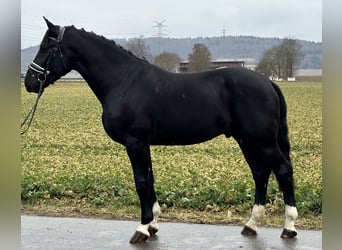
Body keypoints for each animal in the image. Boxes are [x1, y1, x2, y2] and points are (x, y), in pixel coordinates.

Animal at [24, 18, 298, 244]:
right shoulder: (143, 144)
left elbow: (141, 181)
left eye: (47, 47)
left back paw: (289, 227)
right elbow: (150, 179)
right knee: (260, 173)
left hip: (261, 141)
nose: (29, 81)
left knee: (282, 170)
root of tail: (268, 82)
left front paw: (142, 229)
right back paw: (251, 224)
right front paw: (153, 224)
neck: (123, 80)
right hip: (247, 140)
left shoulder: (135, 143)